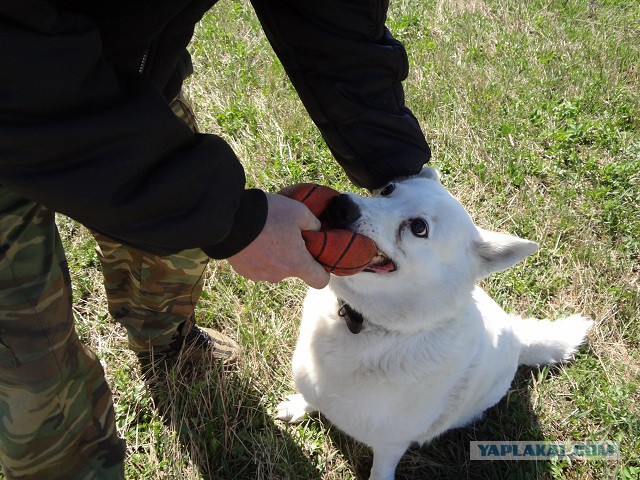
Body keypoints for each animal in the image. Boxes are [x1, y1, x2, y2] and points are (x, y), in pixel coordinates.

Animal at [278, 168, 592, 480]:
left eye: (419, 227)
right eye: (388, 189)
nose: (341, 205)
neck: (366, 324)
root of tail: (518, 333)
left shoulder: (391, 445)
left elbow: (380, 470)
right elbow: (311, 396)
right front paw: (298, 406)